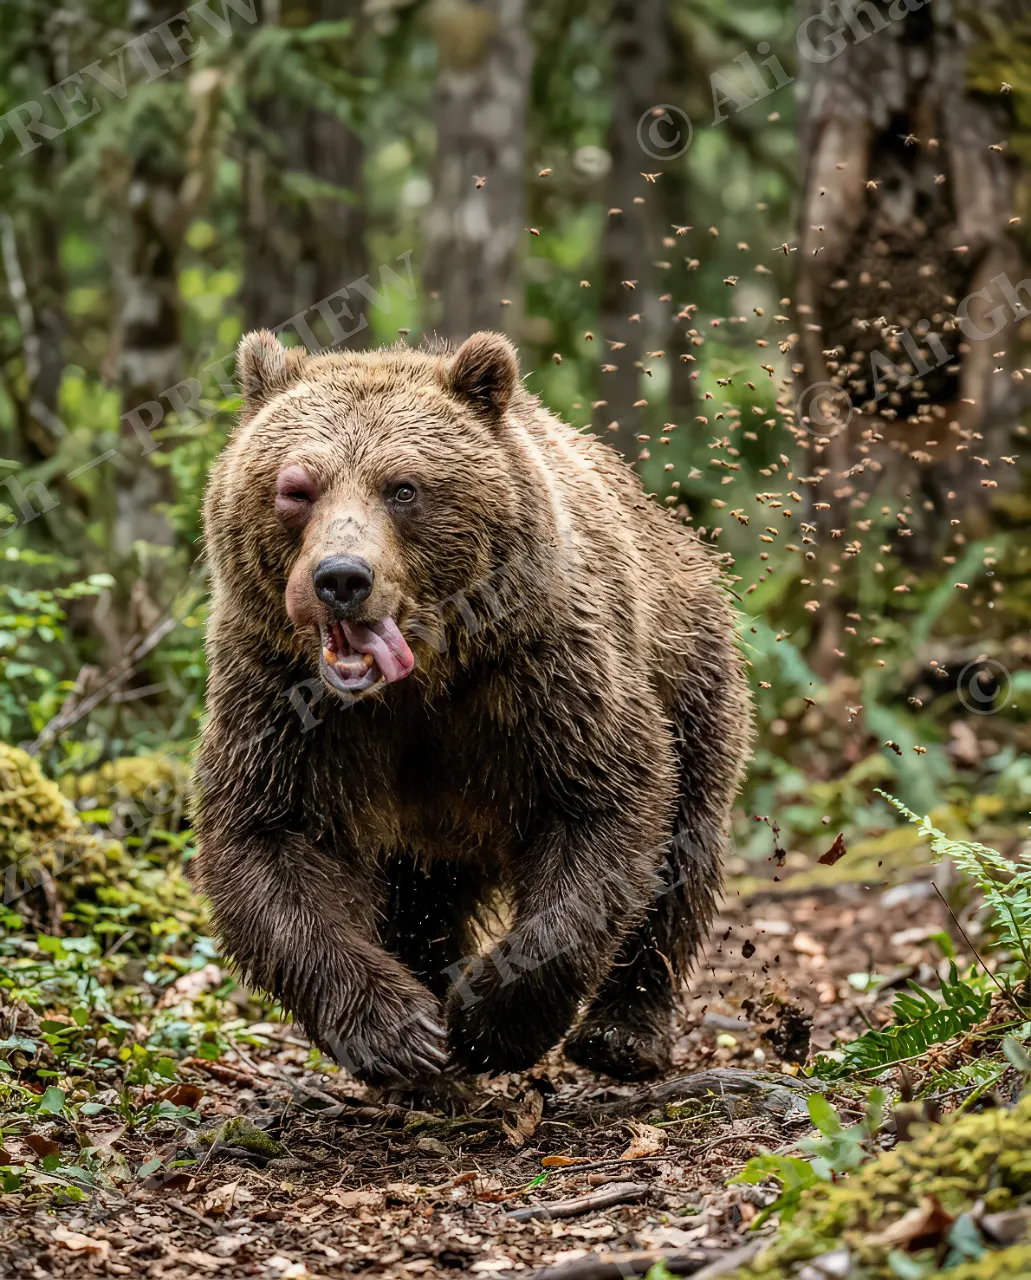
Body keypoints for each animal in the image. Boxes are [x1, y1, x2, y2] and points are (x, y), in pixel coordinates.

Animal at [192, 328, 753, 1085]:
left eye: (403, 488)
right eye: (296, 488)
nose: (341, 578)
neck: (417, 685)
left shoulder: (544, 674)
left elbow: (603, 809)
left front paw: (488, 1021)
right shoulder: (283, 700)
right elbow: (267, 839)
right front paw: (400, 1031)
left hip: (692, 675)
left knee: (682, 851)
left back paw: (621, 1035)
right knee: (417, 899)